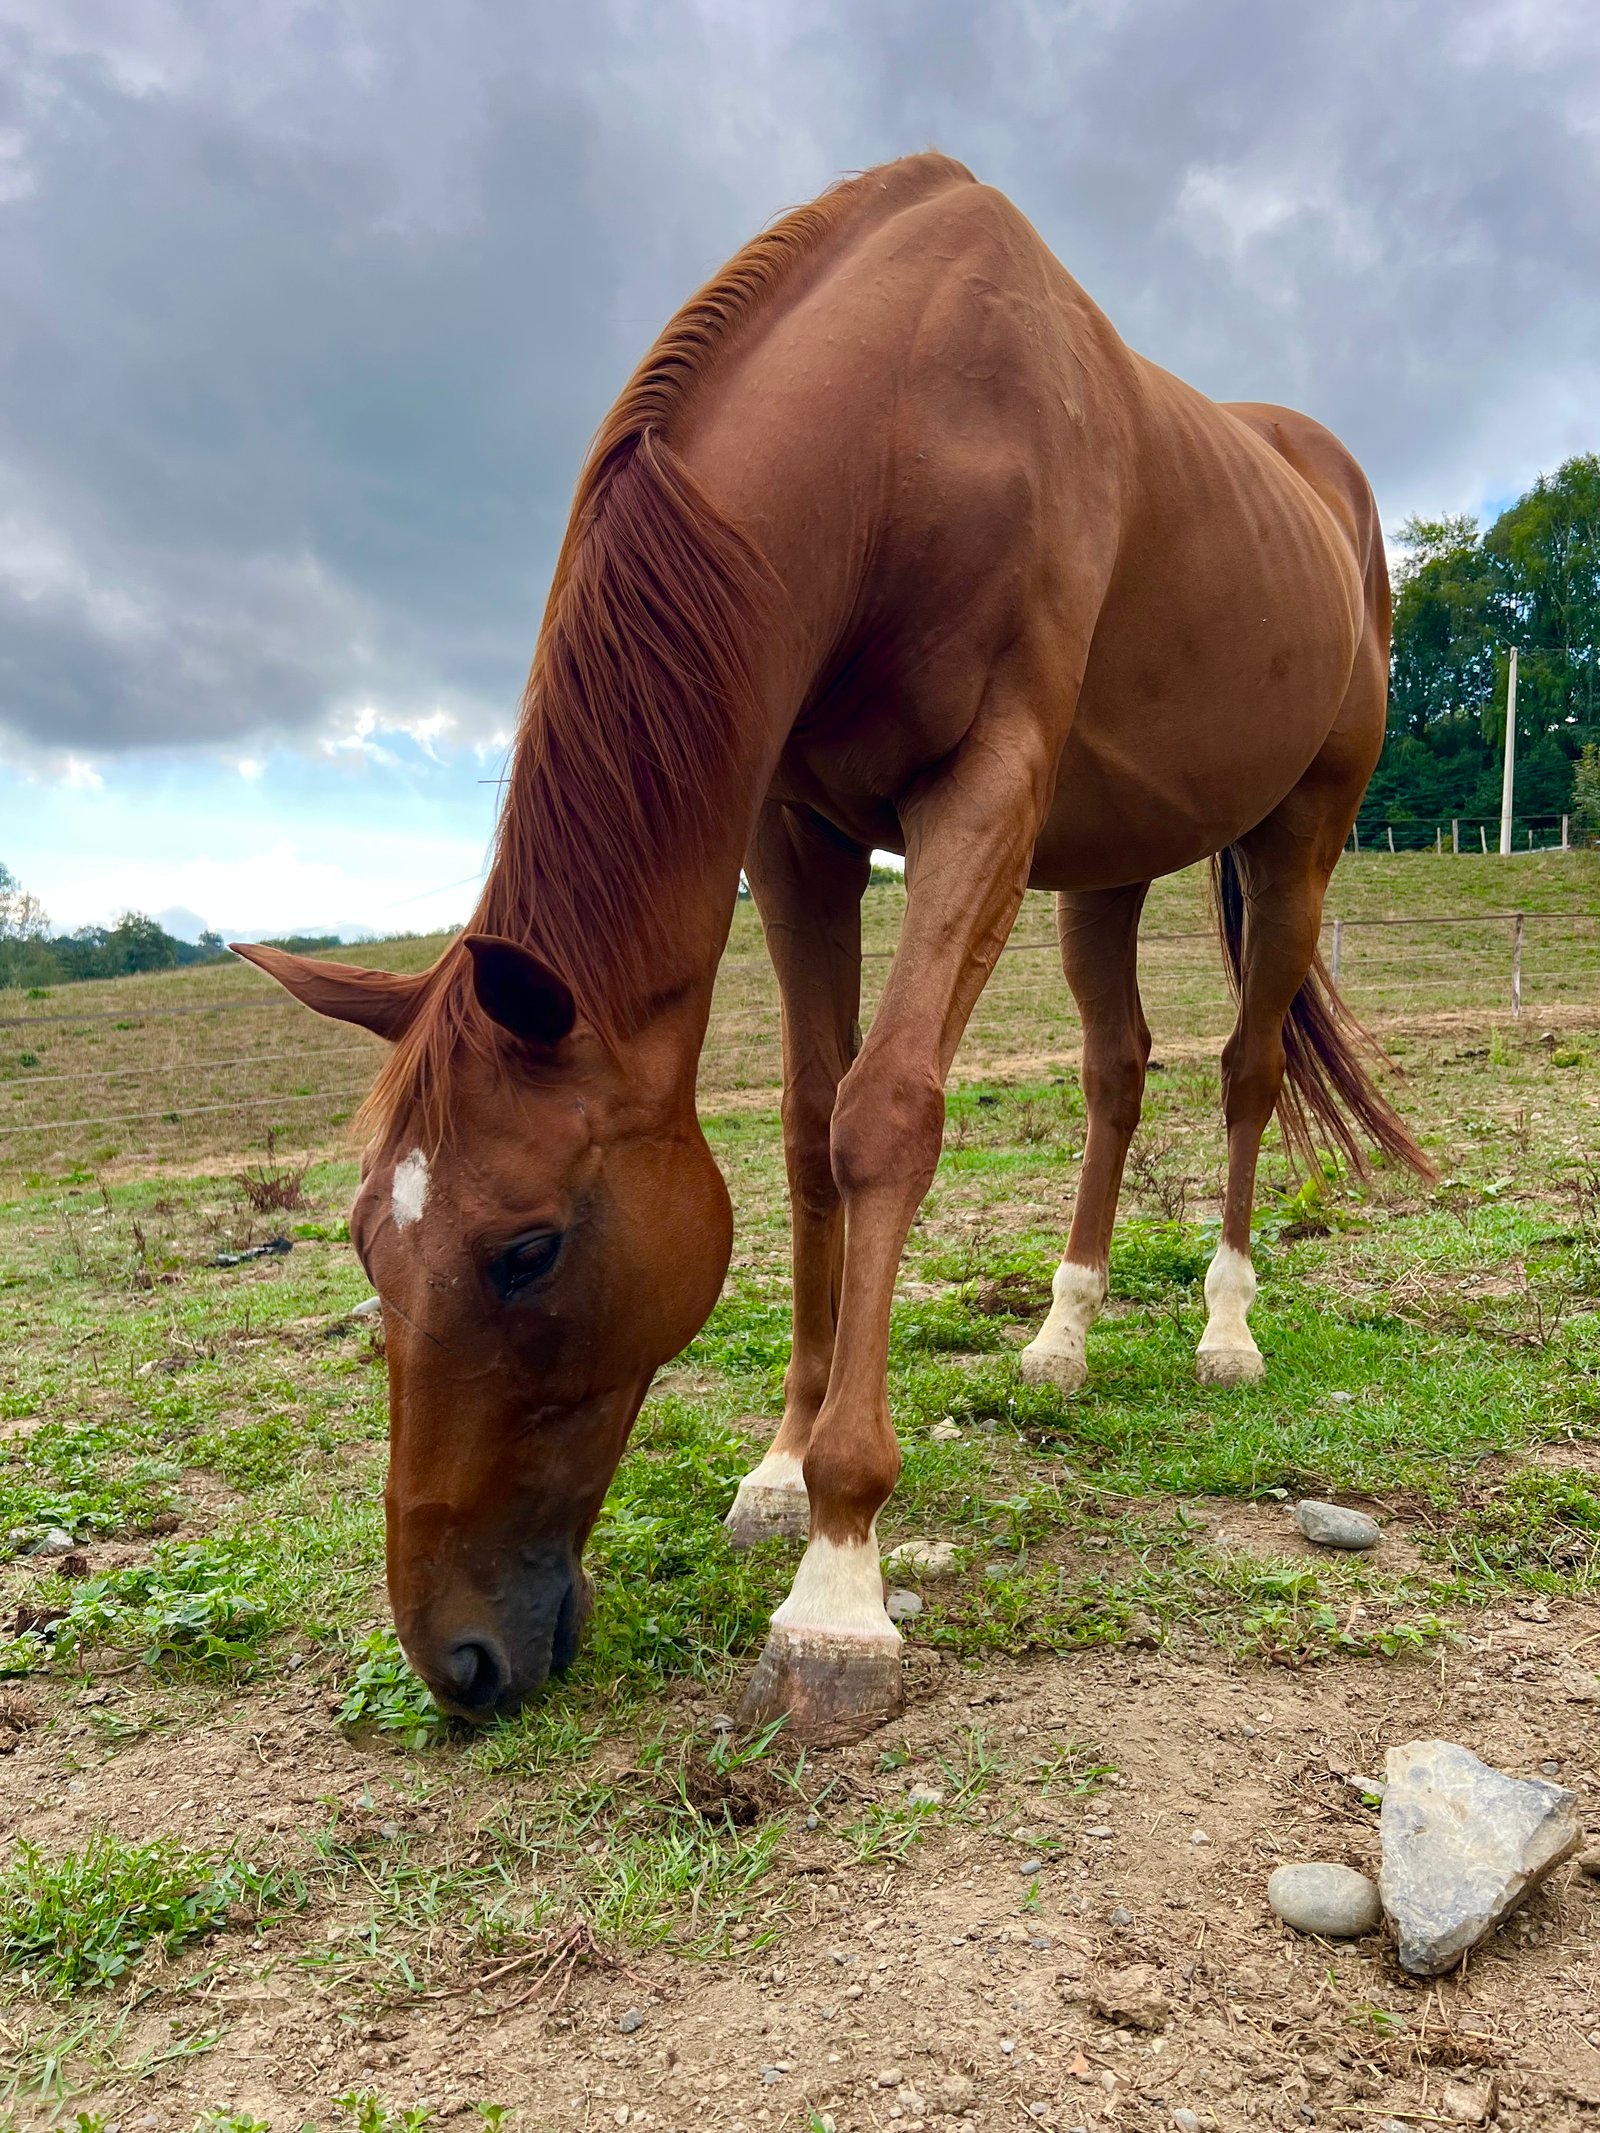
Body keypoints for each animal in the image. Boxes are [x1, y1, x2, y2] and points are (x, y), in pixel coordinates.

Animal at [236, 153, 1429, 1748]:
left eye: (526, 1251)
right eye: (369, 1244)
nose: (457, 1661)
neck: (907, 426)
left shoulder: (981, 790)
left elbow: (887, 1117)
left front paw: (840, 1579)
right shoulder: (794, 833)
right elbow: (808, 1130)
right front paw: (782, 1466)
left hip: (1299, 836)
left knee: (1243, 1069)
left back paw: (1225, 1328)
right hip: (1106, 867)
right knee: (1118, 1071)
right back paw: (1063, 1337)